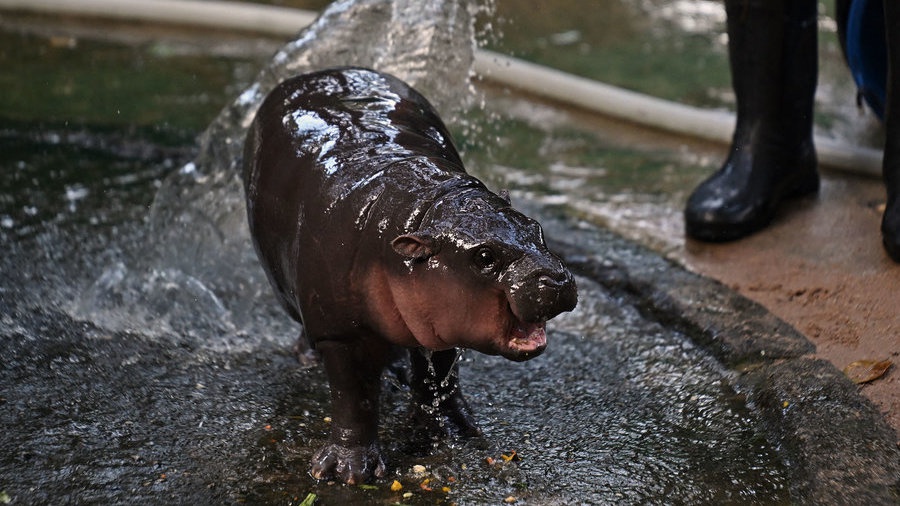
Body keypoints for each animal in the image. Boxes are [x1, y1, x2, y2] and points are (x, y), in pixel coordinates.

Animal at [241, 66, 576, 482]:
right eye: (484, 256)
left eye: (536, 228)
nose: (557, 279)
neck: (424, 209)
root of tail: (320, 72)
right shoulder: (341, 332)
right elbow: (354, 397)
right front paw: (349, 472)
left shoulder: (442, 319)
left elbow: (441, 375)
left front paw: (454, 431)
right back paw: (309, 358)